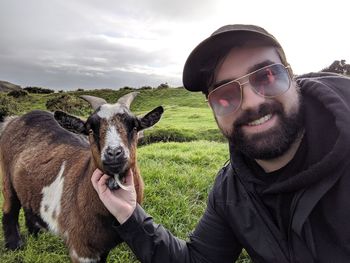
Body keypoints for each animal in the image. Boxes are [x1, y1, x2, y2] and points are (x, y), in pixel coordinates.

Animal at [0, 92, 164, 262]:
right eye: (90, 130)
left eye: (135, 127)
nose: (113, 153)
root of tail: (13, 120)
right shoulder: (80, 249)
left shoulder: (103, 247)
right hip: (6, 177)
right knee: (10, 208)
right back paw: (14, 246)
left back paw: (36, 235)